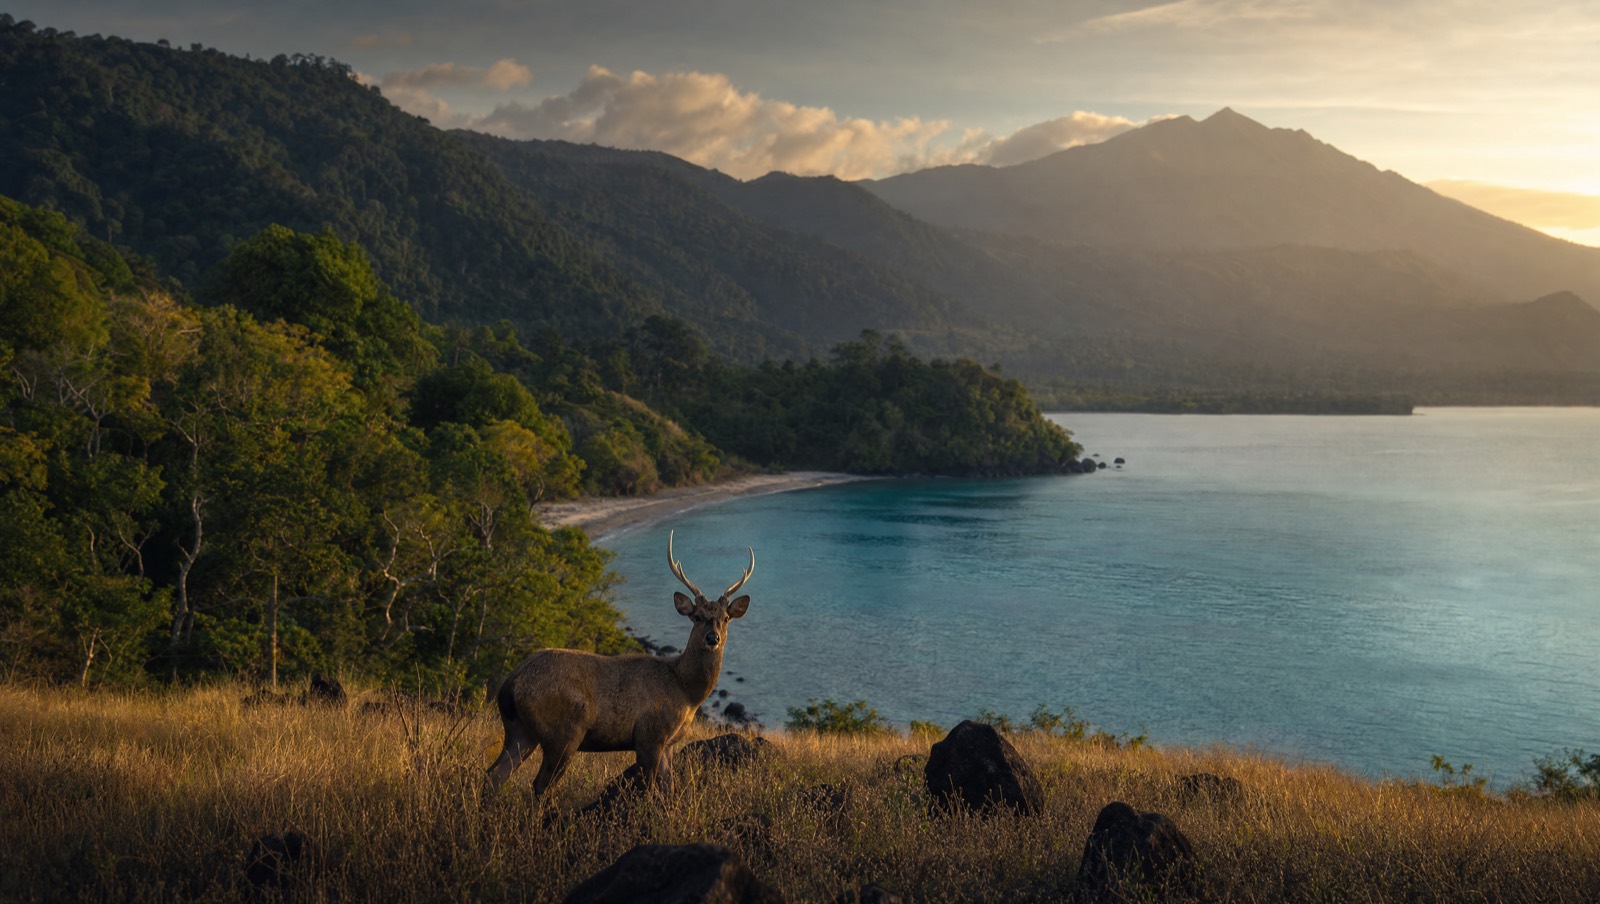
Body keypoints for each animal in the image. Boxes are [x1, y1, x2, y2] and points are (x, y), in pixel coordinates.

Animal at [486, 530, 754, 798]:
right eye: (697, 617)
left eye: (726, 618)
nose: (712, 638)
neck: (685, 691)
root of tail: (511, 683)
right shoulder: (650, 736)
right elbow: (648, 790)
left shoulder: (668, 743)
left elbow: (668, 790)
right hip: (562, 733)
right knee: (540, 784)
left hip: (519, 730)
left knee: (495, 774)